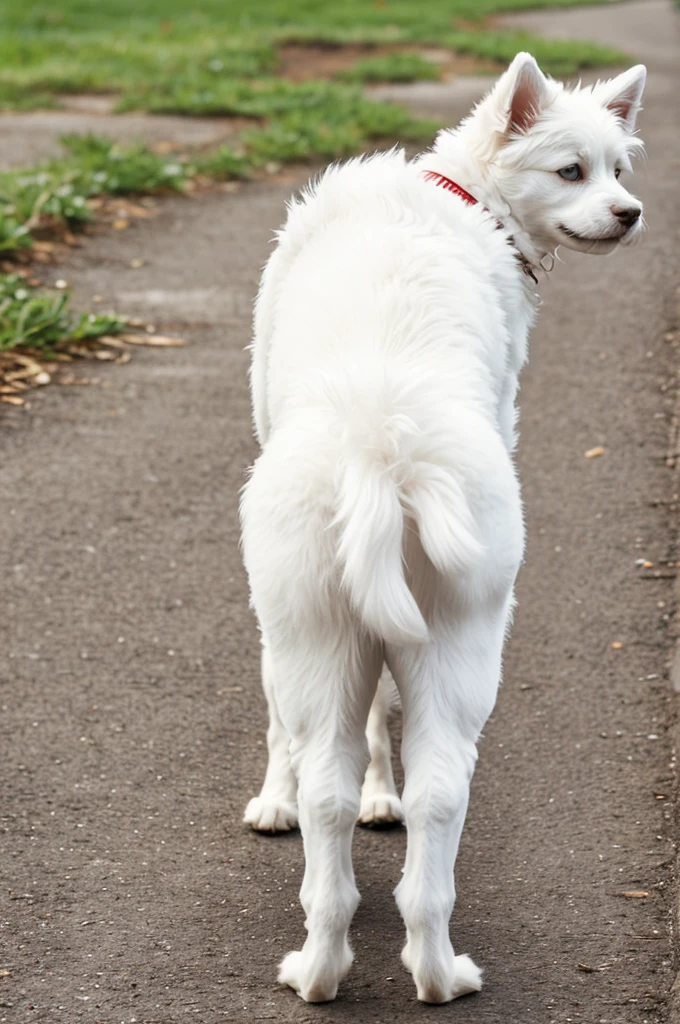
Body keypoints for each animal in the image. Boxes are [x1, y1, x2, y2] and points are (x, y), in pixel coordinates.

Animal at [241, 51, 647, 1003]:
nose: (631, 213)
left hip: (331, 627)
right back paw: (397, 968)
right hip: (445, 632)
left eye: (619, 169)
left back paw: (350, 965)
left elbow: (296, 714)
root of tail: (385, 450)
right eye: (573, 171)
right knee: (424, 795)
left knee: (333, 778)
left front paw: (286, 798)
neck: (459, 192)